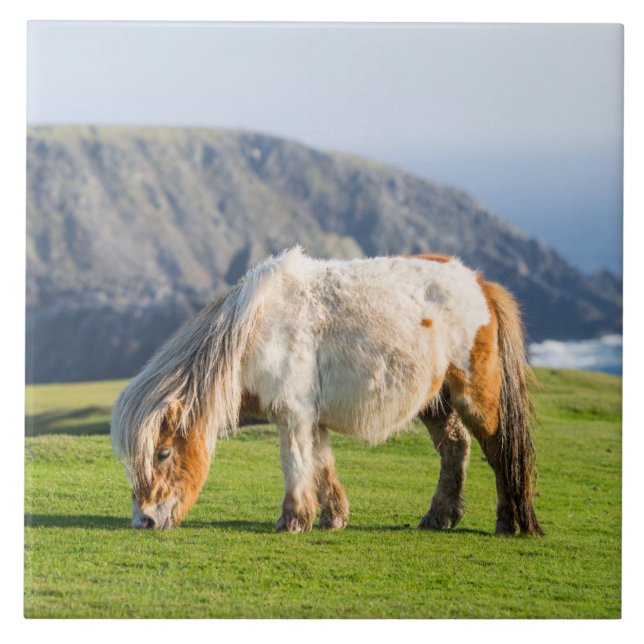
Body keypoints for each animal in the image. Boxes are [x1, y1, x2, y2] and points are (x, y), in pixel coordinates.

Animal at [111, 247, 543, 536]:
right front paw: (332, 517)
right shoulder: (310, 417)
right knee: (455, 447)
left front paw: (291, 521)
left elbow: (296, 463)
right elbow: (322, 465)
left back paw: (509, 522)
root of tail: (481, 284)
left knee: (499, 450)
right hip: (435, 401)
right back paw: (440, 517)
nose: (143, 520)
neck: (255, 330)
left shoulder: (293, 415)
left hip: (476, 396)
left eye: (163, 453)